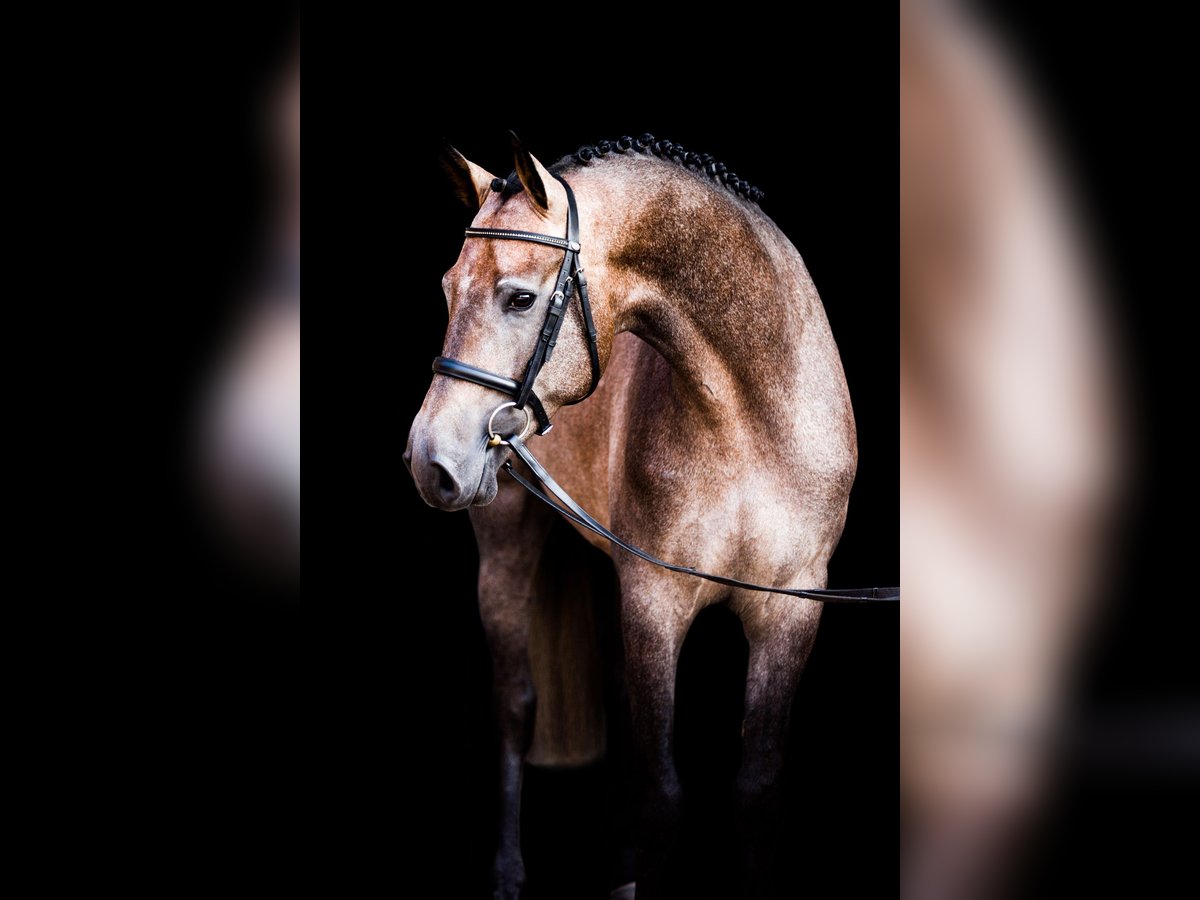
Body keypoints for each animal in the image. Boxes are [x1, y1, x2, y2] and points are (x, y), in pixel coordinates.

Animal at [404, 133, 858, 900]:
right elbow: (660, 800)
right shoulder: (656, 601)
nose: (427, 458)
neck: (753, 417)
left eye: (519, 297)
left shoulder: (791, 609)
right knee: (514, 702)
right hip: (507, 553)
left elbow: (756, 794)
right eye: (445, 289)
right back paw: (508, 872)